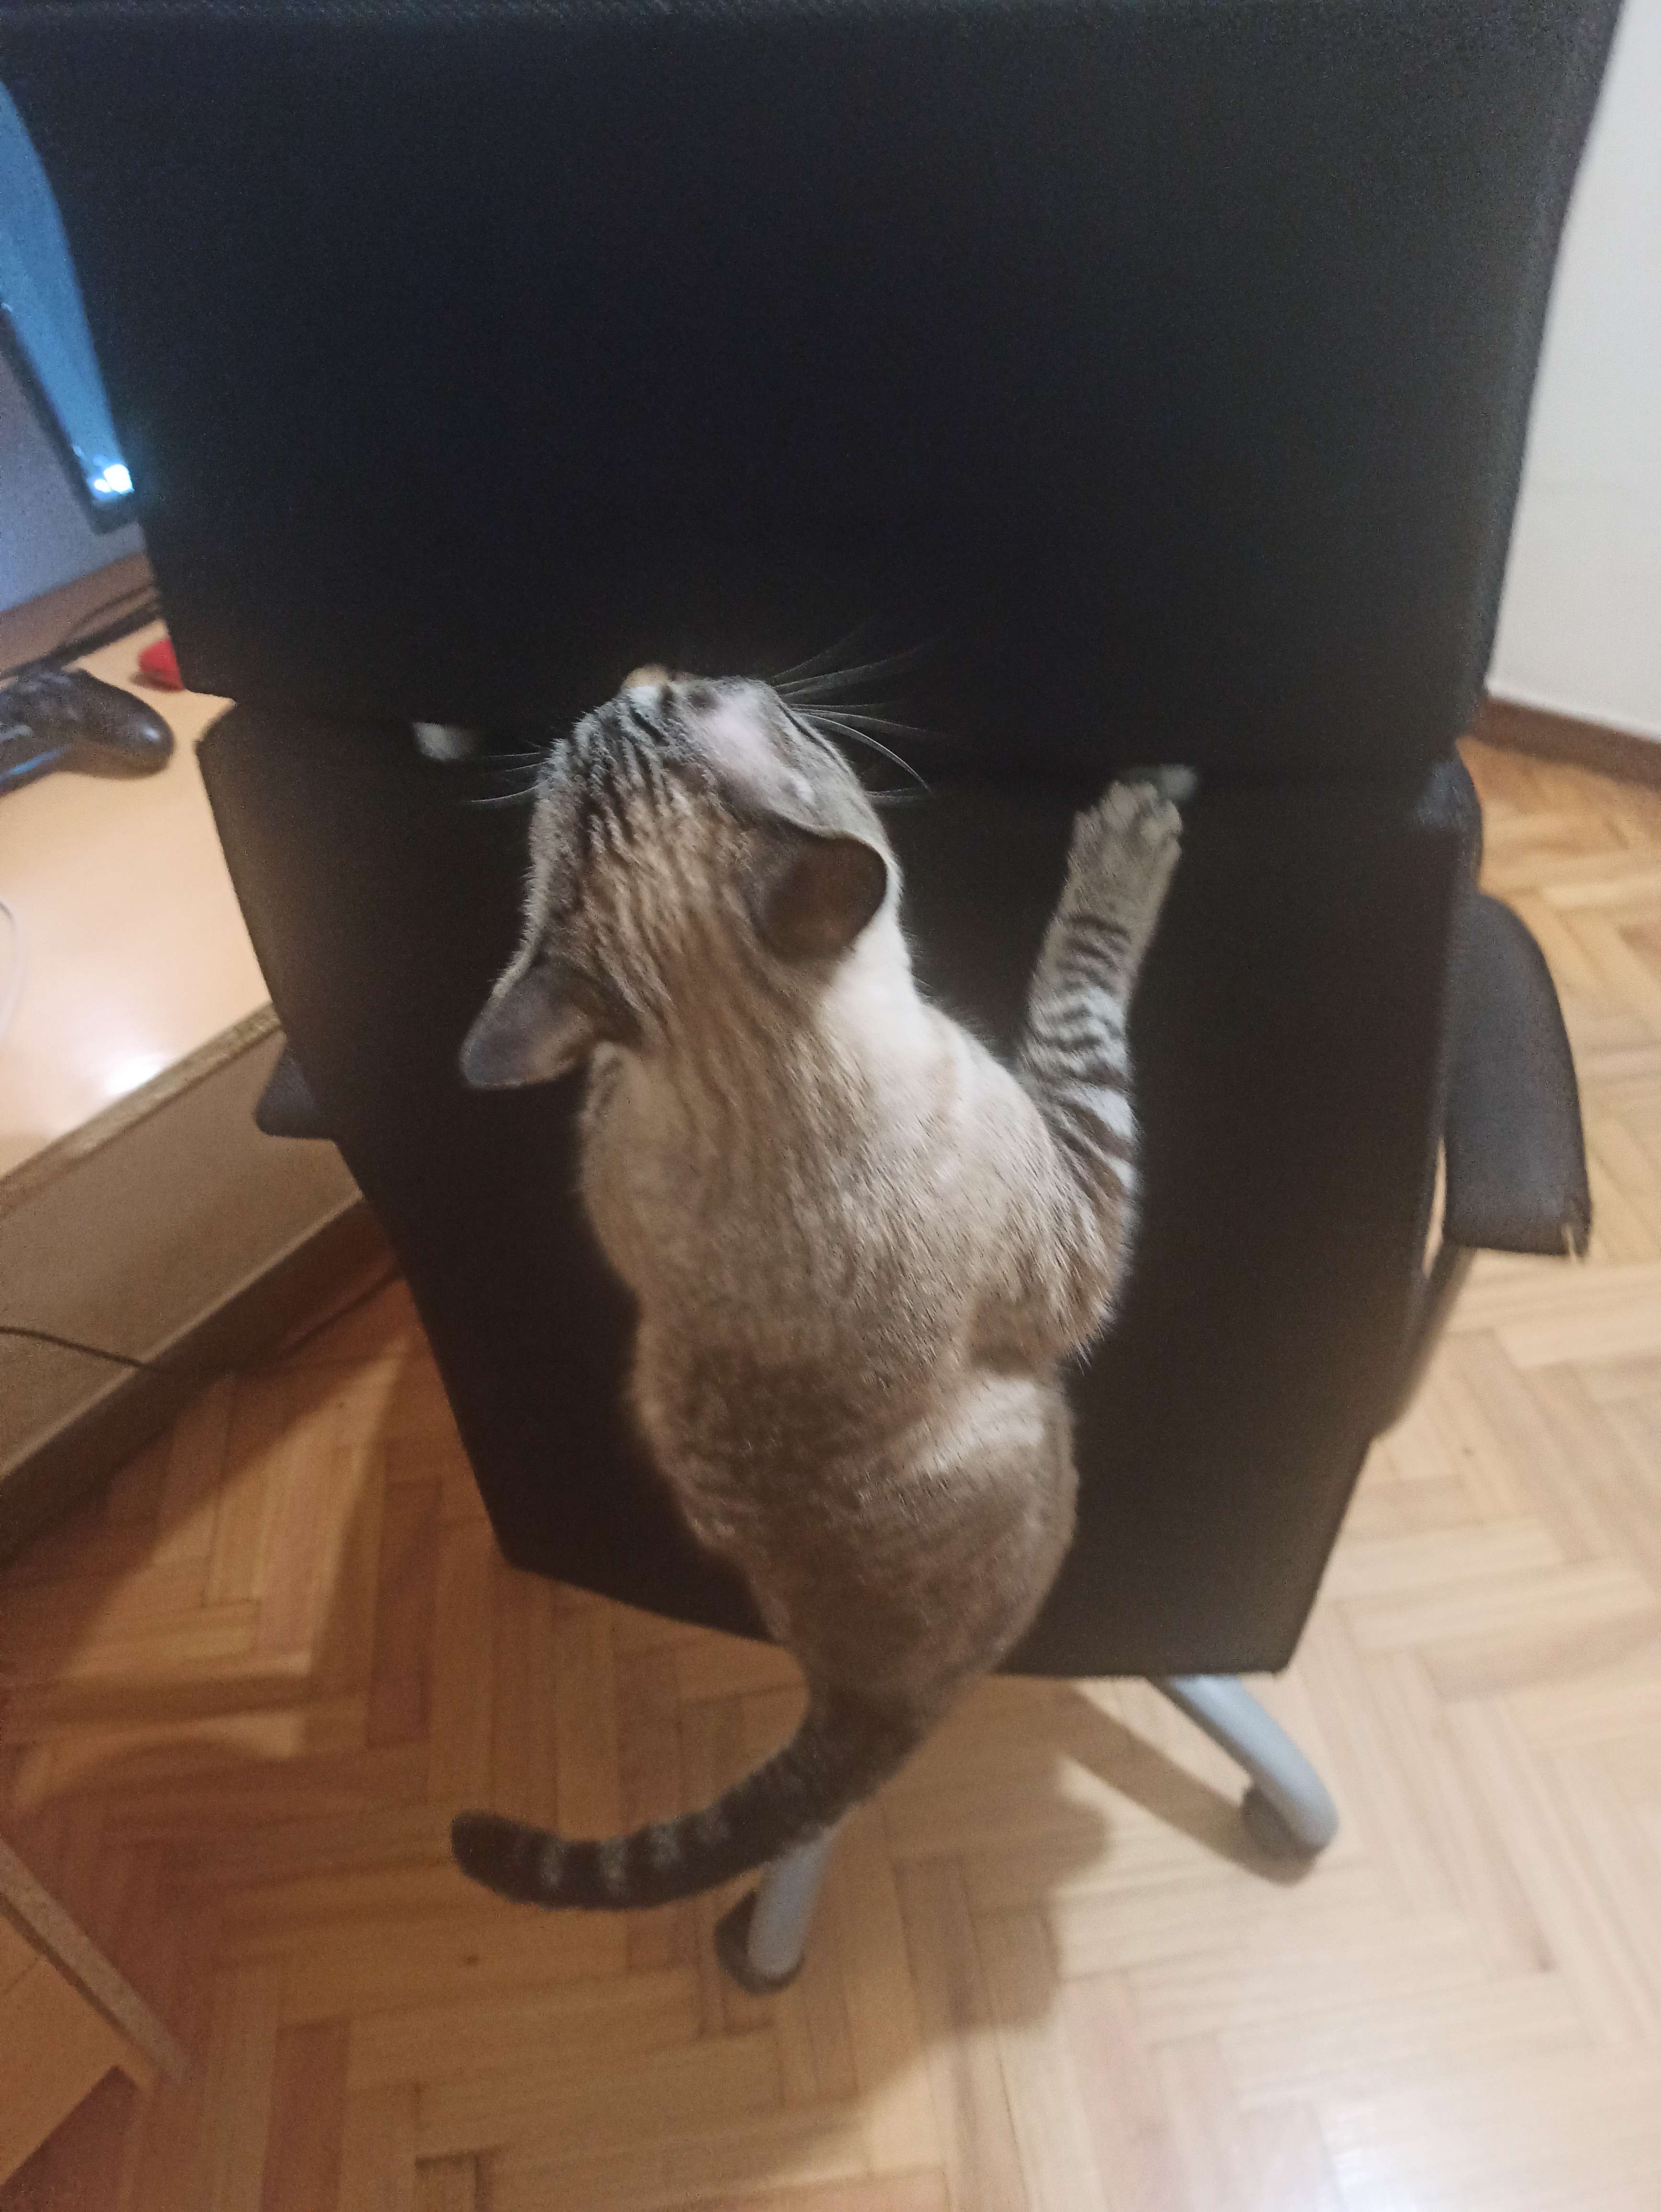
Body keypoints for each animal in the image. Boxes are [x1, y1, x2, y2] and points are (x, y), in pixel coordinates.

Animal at [453, 671, 1182, 1910]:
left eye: (674, 697)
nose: (644, 674)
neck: (749, 1081)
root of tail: (844, 1697)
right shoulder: (1080, 1219)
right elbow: (1081, 989)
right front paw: (1133, 831)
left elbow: (600, 1088)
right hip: (1046, 1433)